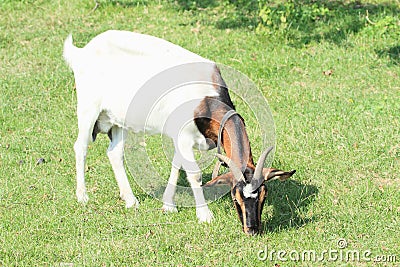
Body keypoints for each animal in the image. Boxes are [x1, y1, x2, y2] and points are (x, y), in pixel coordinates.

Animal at [64, 30, 296, 236]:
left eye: (264, 196)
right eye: (234, 196)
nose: (252, 230)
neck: (205, 99)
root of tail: (82, 52)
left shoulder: (179, 138)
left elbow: (176, 166)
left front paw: (168, 205)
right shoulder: (184, 137)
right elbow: (193, 175)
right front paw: (204, 215)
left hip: (118, 120)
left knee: (114, 153)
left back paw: (130, 200)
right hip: (88, 109)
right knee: (80, 147)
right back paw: (83, 196)